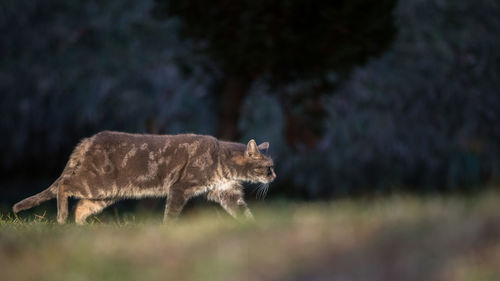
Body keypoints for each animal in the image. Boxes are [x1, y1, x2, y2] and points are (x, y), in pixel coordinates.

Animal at [11, 130, 276, 224]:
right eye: (268, 167)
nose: (275, 176)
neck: (222, 160)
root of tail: (89, 139)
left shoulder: (228, 193)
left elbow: (244, 213)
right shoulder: (180, 187)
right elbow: (171, 214)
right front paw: (168, 229)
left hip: (104, 195)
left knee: (81, 207)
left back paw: (80, 228)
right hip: (95, 184)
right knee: (64, 186)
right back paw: (61, 218)